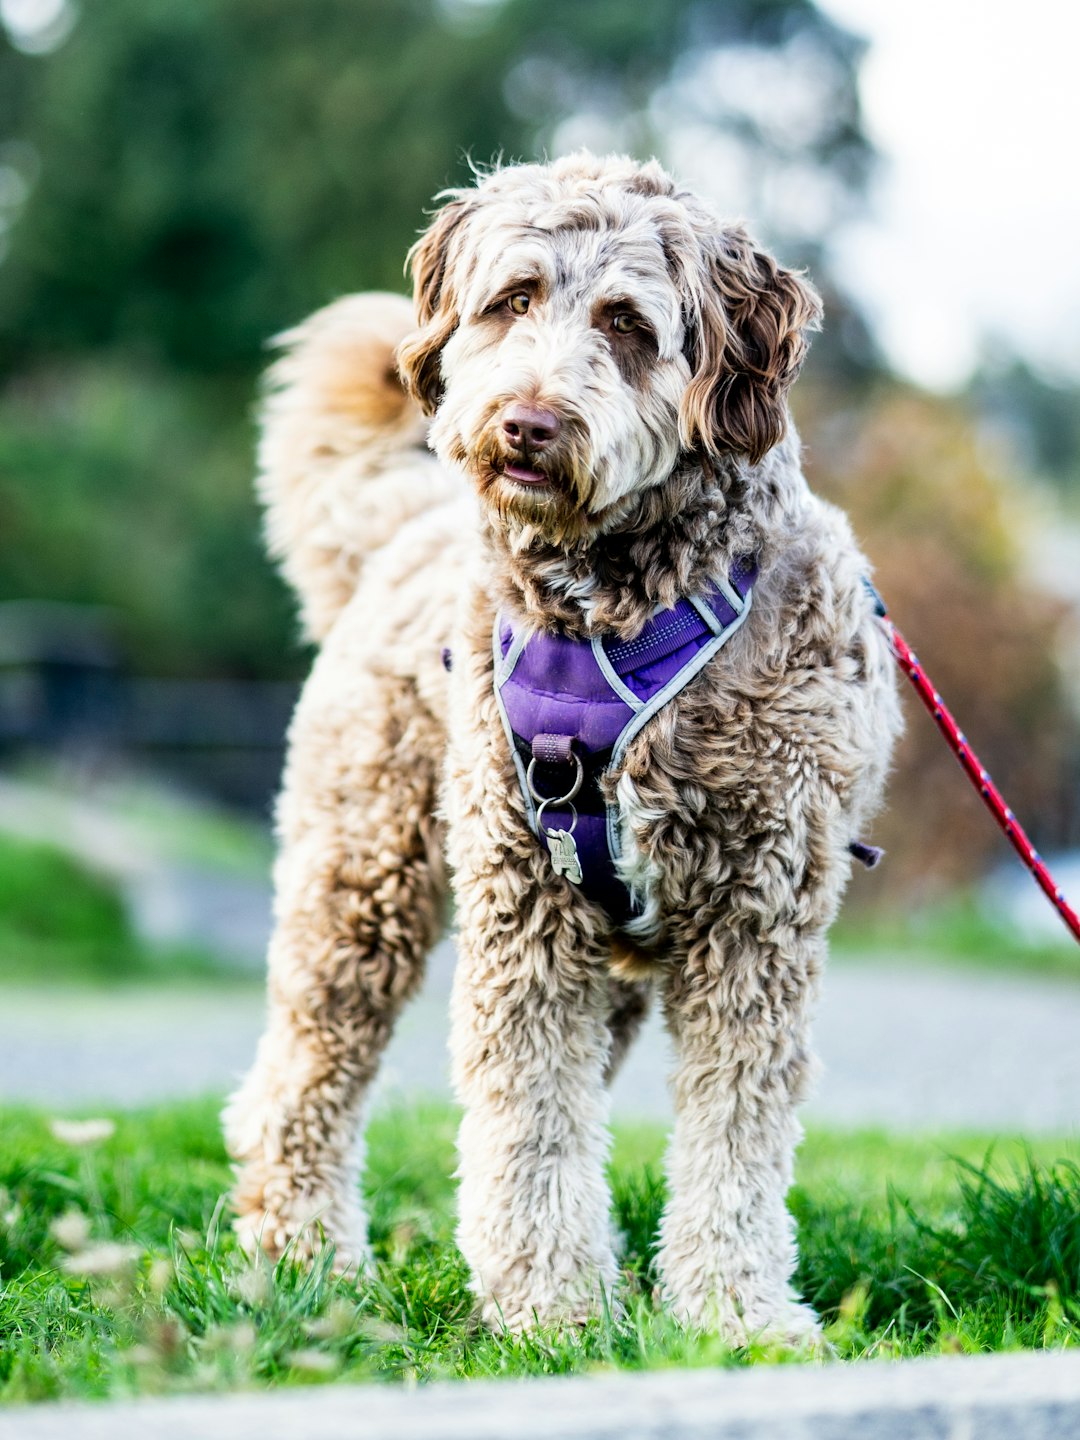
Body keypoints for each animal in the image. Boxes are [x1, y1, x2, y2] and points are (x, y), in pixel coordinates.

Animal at [221, 151, 904, 1342]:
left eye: (629, 322)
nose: (528, 424)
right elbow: (528, 1118)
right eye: (514, 298)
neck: (616, 605)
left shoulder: (760, 913)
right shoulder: (524, 906)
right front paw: (553, 1310)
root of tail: (397, 530)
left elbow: (734, 1135)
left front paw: (734, 1316)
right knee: (300, 1077)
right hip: (361, 879)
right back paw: (303, 1255)